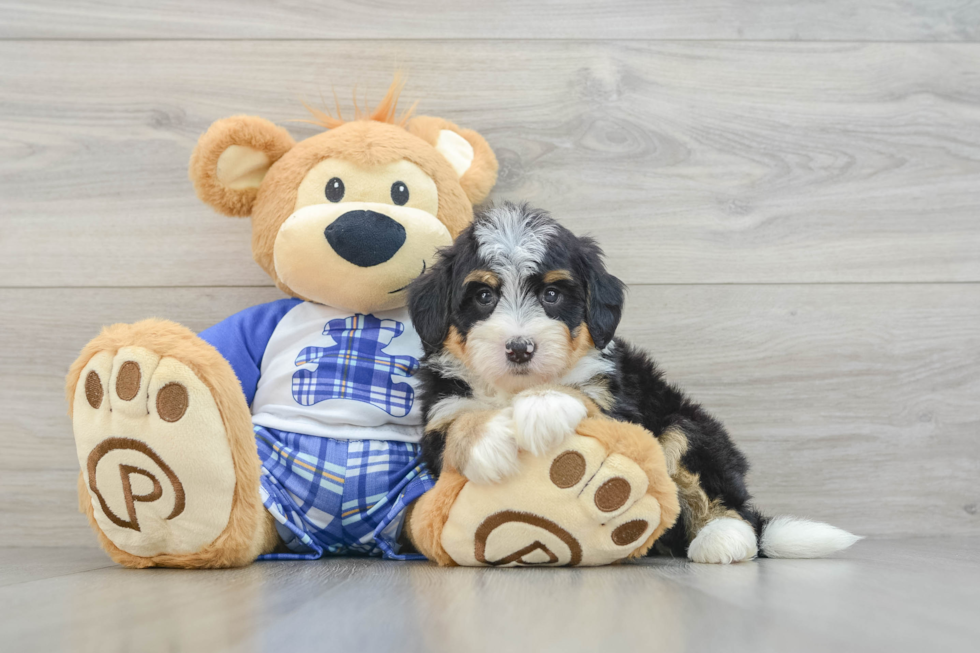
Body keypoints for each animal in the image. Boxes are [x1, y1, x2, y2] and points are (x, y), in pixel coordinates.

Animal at [406, 202, 856, 560]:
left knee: (715, 485)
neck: (513, 388)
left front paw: (543, 406)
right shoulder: (442, 409)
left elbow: (581, 395)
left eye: (552, 296)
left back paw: (723, 538)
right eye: (483, 297)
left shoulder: (617, 399)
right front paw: (489, 443)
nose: (519, 348)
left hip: (687, 425)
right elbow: (459, 423)